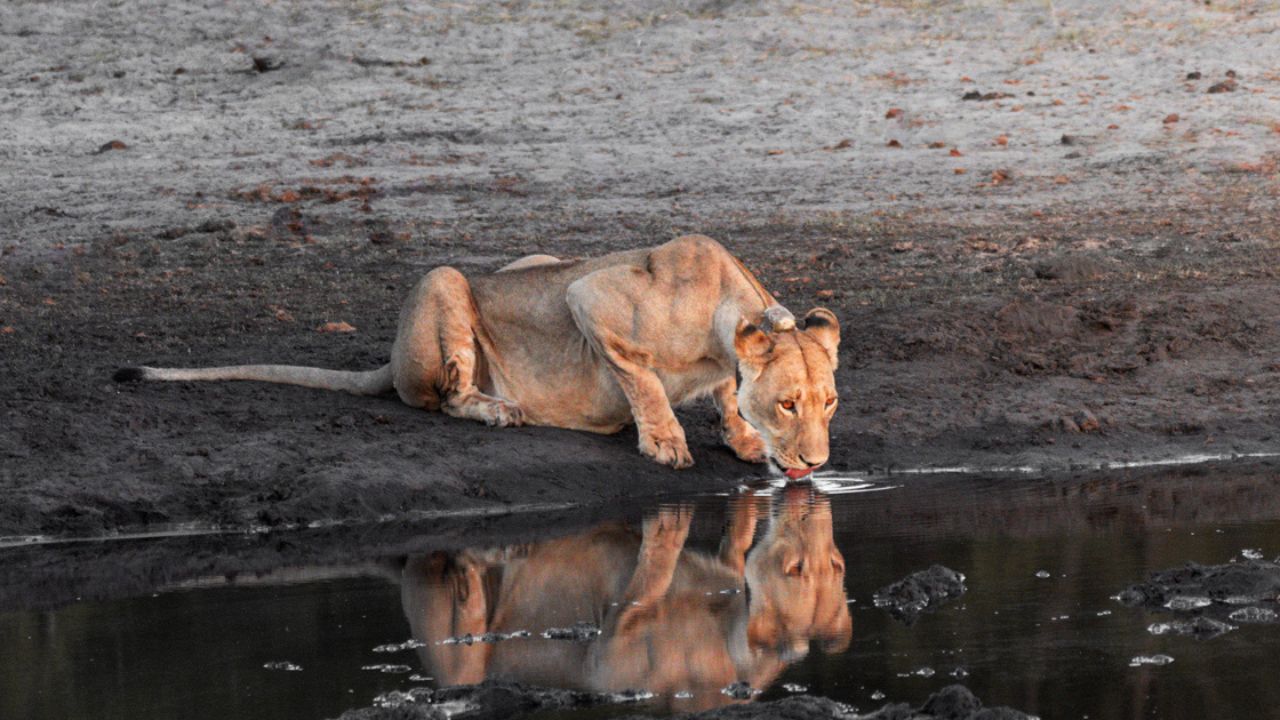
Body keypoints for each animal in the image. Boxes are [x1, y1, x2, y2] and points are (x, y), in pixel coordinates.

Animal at [115, 235, 840, 473]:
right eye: (788, 404)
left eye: (829, 403)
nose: (816, 463)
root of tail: (389, 358)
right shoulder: (588, 295)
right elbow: (642, 379)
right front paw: (663, 441)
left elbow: (723, 396)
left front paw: (741, 438)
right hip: (445, 283)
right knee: (446, 397)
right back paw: (499, 411)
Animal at [398, 487, 851, 711]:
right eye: (796, 569)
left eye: (837, 565)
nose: (804, 502)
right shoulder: (606, 661)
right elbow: (653, 573)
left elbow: (735, 539)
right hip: (458, 664)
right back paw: (480, 564)